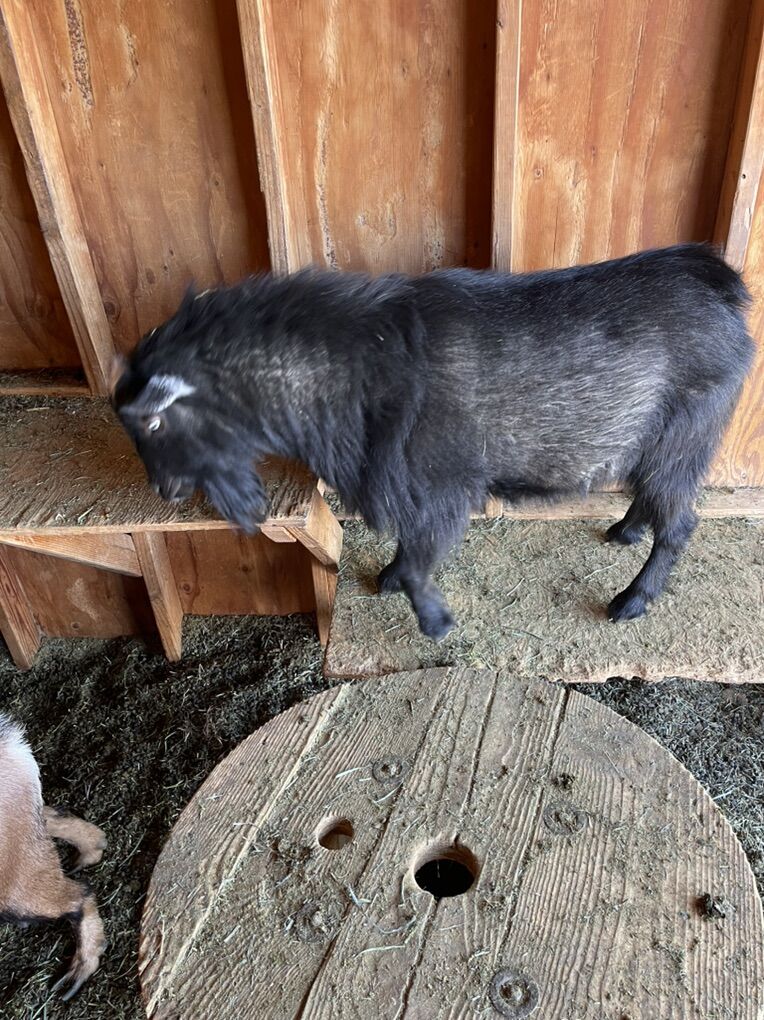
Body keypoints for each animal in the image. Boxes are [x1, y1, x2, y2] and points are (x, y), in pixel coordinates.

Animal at [113, 244, 753, 640]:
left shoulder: (439, 485)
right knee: (654, 502)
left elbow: (424, 555)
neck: (353, 364)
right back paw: (624, 531)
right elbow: (409, 548)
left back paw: (631, 600)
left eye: (152, 422)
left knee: (680, 523)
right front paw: (391, 577)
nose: (164, 490)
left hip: (684, 437)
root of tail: (721, 287)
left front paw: (434, 620)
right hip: (656, 447)